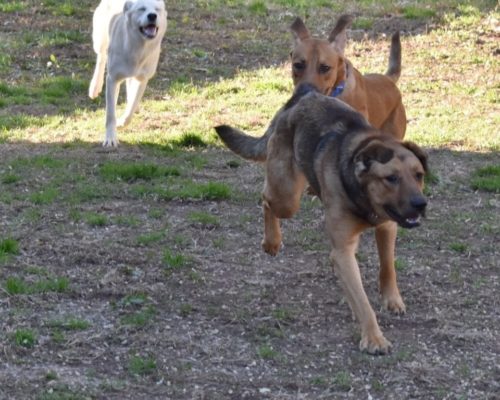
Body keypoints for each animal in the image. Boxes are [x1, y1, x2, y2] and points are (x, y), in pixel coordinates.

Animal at [89, 0, 167, 147]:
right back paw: (95, 87)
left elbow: (132, 105)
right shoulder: (112, 79)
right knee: (101, 57)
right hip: (100, 39)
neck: (139, 47)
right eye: (142, 9)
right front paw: (110, 139)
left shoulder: (142, 79)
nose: (152, 16)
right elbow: (110, 115)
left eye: (157, 9)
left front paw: (122, 121)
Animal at [213, 83, 428, 354]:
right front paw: (374, 338)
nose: (421, 204)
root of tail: (302, 94)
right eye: (391, 178)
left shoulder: (388, 226)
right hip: (286, 197)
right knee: (266, 198)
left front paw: (392, 300)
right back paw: (271, 242)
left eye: (419, 175)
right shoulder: (343, 250)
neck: (363, 196)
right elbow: (362, 301)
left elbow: (388, 267)